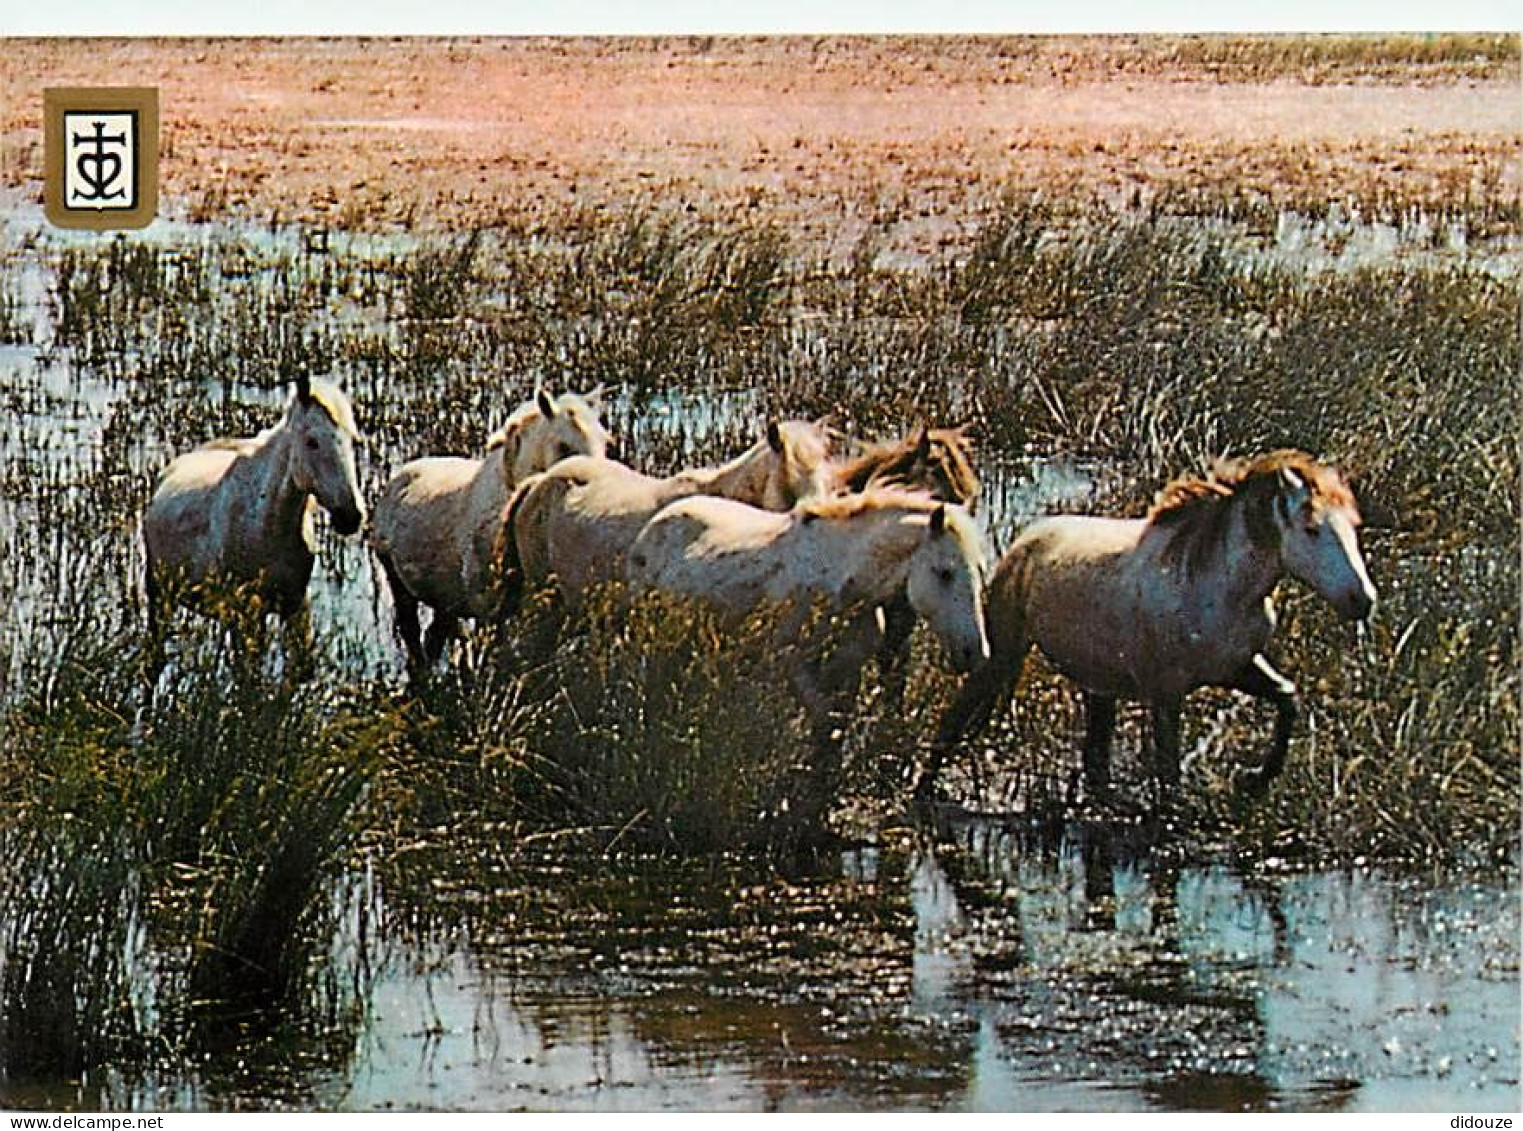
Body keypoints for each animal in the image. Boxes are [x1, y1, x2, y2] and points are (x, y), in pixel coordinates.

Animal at [143, 374, 368, 654]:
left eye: (353, 441)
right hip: (160, 597)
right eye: (312, 441)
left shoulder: (295, 608)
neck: (265, 525)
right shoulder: (247, 616)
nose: (351, 516)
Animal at [370, 389, 612, 666]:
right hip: (398, 582)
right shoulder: (488, 610)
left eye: (606, 442)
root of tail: (398, 479)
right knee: (411, 631)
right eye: (564, 445)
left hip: (444, 602)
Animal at [925, 450, 1382, 803]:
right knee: (955, 717)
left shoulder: (1236, 666)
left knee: (1095, 760)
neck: (1218, 584)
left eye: (1353, 527)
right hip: (1002, 654)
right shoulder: (1166, 692)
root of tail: (1026, 539)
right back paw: (925, 791)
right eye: (1312, 529)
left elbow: (1287, 698)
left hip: (1099, 685)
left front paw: (1253, 781)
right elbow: (1168, 773)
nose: (1362, 599)